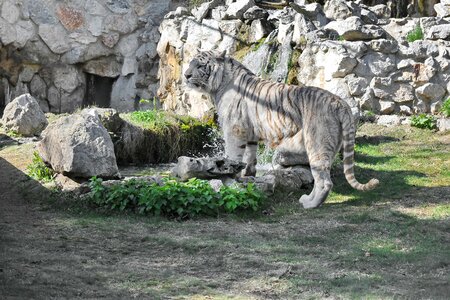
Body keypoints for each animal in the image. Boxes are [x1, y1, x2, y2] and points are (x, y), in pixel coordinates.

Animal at [184, 50, 380, 209]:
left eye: (199, 65)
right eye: (190, 63)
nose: (185, 75)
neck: (220, 84)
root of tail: (340, 102)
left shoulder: (234, 130)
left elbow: (233, 155)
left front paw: (230, 176)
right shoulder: (250, 132)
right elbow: (249, 157)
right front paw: (247, 176)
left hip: (317, 143)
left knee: (324, 181)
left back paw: (310, 205)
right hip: (331, 145)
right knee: (320, 176)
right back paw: (307, 199)